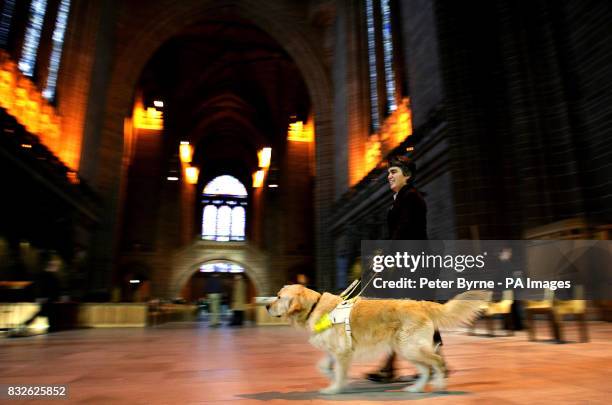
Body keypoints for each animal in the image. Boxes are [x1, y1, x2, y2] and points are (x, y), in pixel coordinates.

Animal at [266, 282, 490, 392]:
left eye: (278, 297)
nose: (266, 306)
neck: (315, 307)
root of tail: (421, 304)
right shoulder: (335, 351)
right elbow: (323, 366)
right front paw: (332, 379)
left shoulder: (342, 353)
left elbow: (338, 372)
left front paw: (334, 388)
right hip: (405, 350)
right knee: (426, 368)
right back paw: (416, 388)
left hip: (410, 348)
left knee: (436, 361)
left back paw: (439, 384)